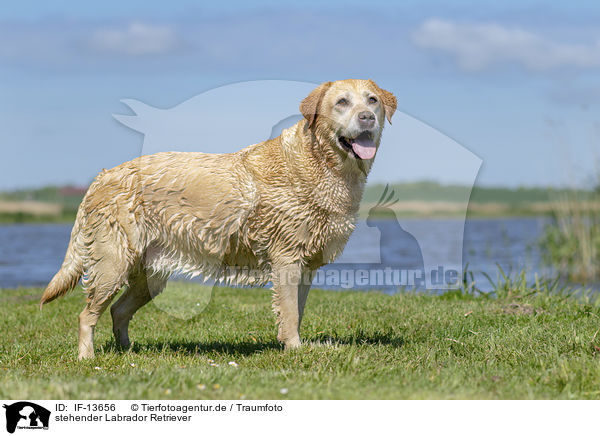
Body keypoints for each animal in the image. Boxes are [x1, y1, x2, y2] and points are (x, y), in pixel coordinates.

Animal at [42, 80, 398, 360]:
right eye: (342, 102)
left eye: (372, 100)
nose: (366, 118)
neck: (322, 163)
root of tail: (101, 177)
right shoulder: (286, 259)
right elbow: (288, 311)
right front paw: (295, 349)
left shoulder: (307, 265)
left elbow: (296, 310)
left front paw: (297, 345)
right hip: (112, 264)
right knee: (86, 315)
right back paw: (87, 357)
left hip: (149, 276)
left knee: (118, 310)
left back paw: (127, 350)